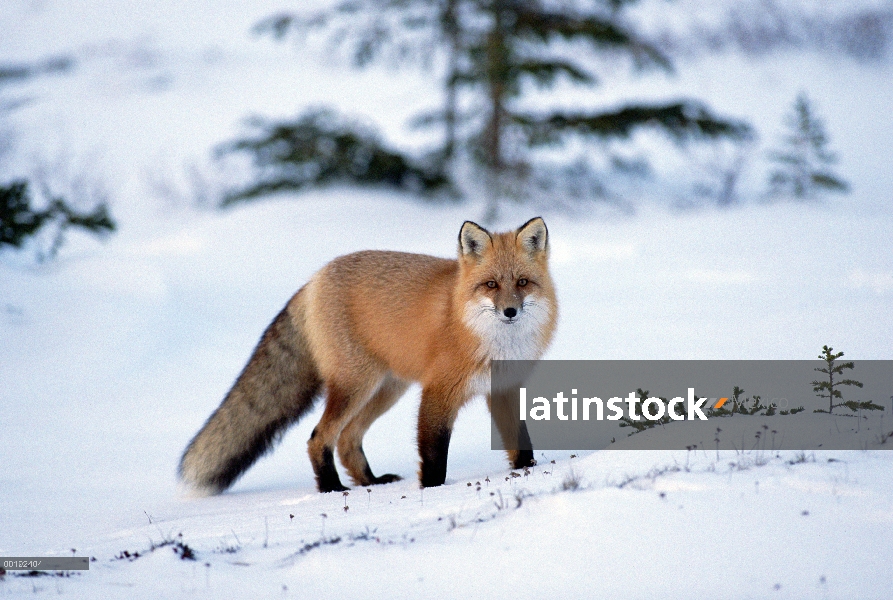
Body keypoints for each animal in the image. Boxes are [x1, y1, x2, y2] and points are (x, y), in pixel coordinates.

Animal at [179, 216, 556, 492]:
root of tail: (314, 279)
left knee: (347, 439)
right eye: (491, 285)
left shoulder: (503, 389)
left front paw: (528, 471)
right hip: (356, 385)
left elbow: (521, 443)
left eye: (522, 283)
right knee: (319, 438)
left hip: (386, 390)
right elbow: (434, 453)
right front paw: (432, 492)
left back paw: (370, 481)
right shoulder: (438, 392)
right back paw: (332, 489)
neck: (496, 344)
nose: (510, 311)